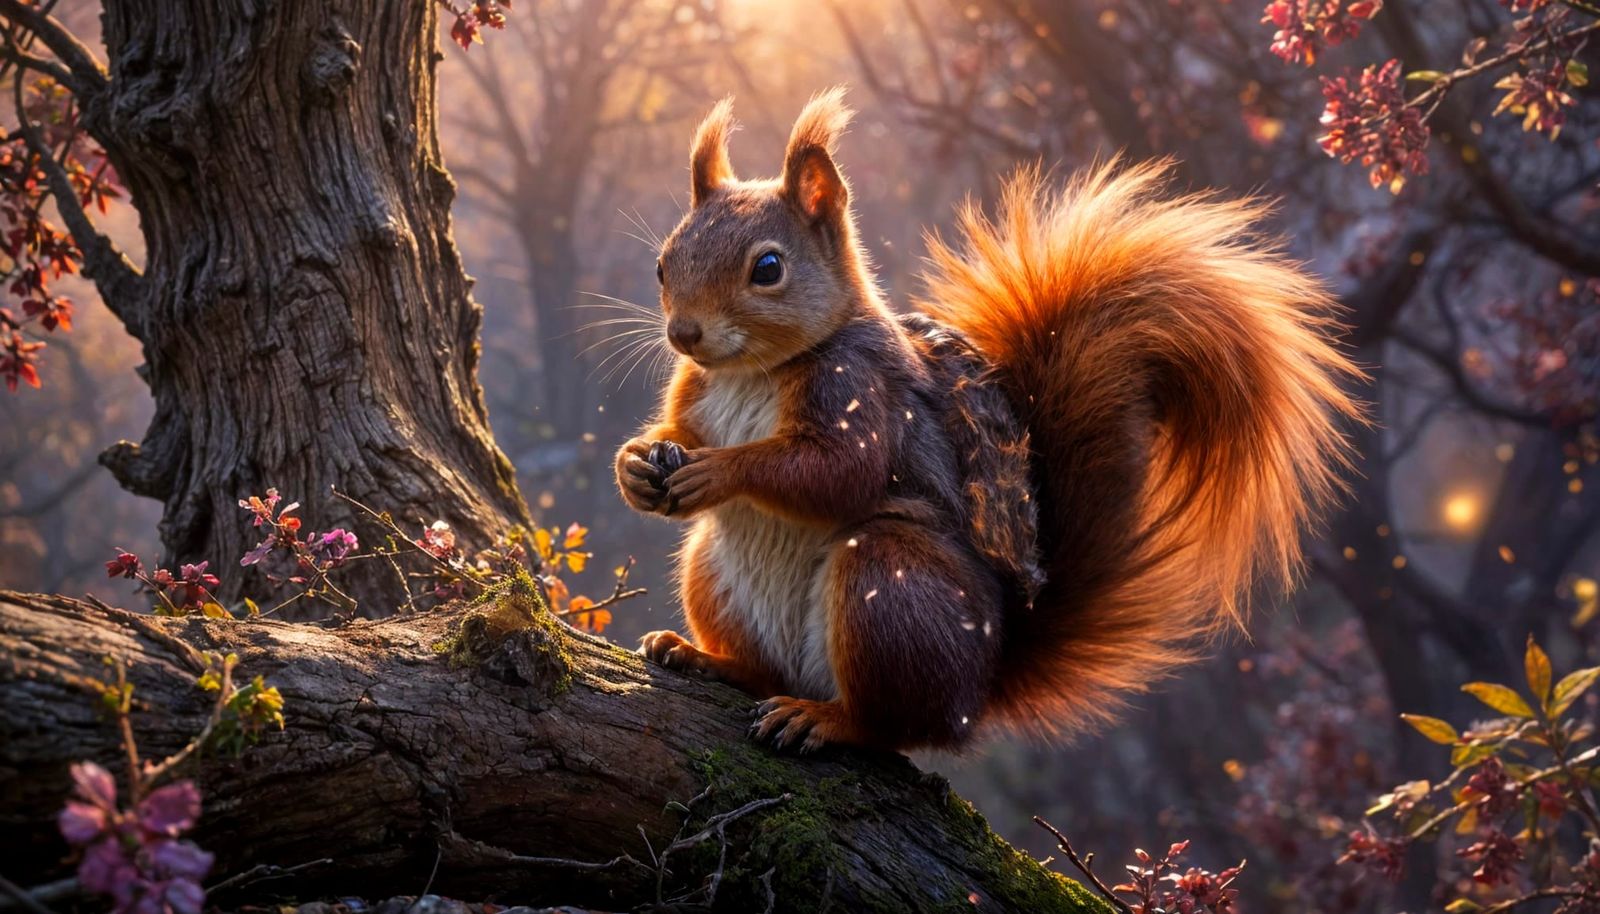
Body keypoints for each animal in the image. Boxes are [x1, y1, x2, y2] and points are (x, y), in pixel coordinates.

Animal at [613, 88, 1361, 753]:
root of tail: (979, 690)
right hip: (712, 570)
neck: (753, 371)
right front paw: (635, 464)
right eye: (662, 264)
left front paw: (717, 472)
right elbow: (679, 436)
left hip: (893, 591)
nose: (683, 334)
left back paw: (826, 720)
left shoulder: (857, 389)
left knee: (893, 725)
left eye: (768, 267)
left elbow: (835, 472)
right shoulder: (696, 393)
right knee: (763, 670)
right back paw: (706, 657)